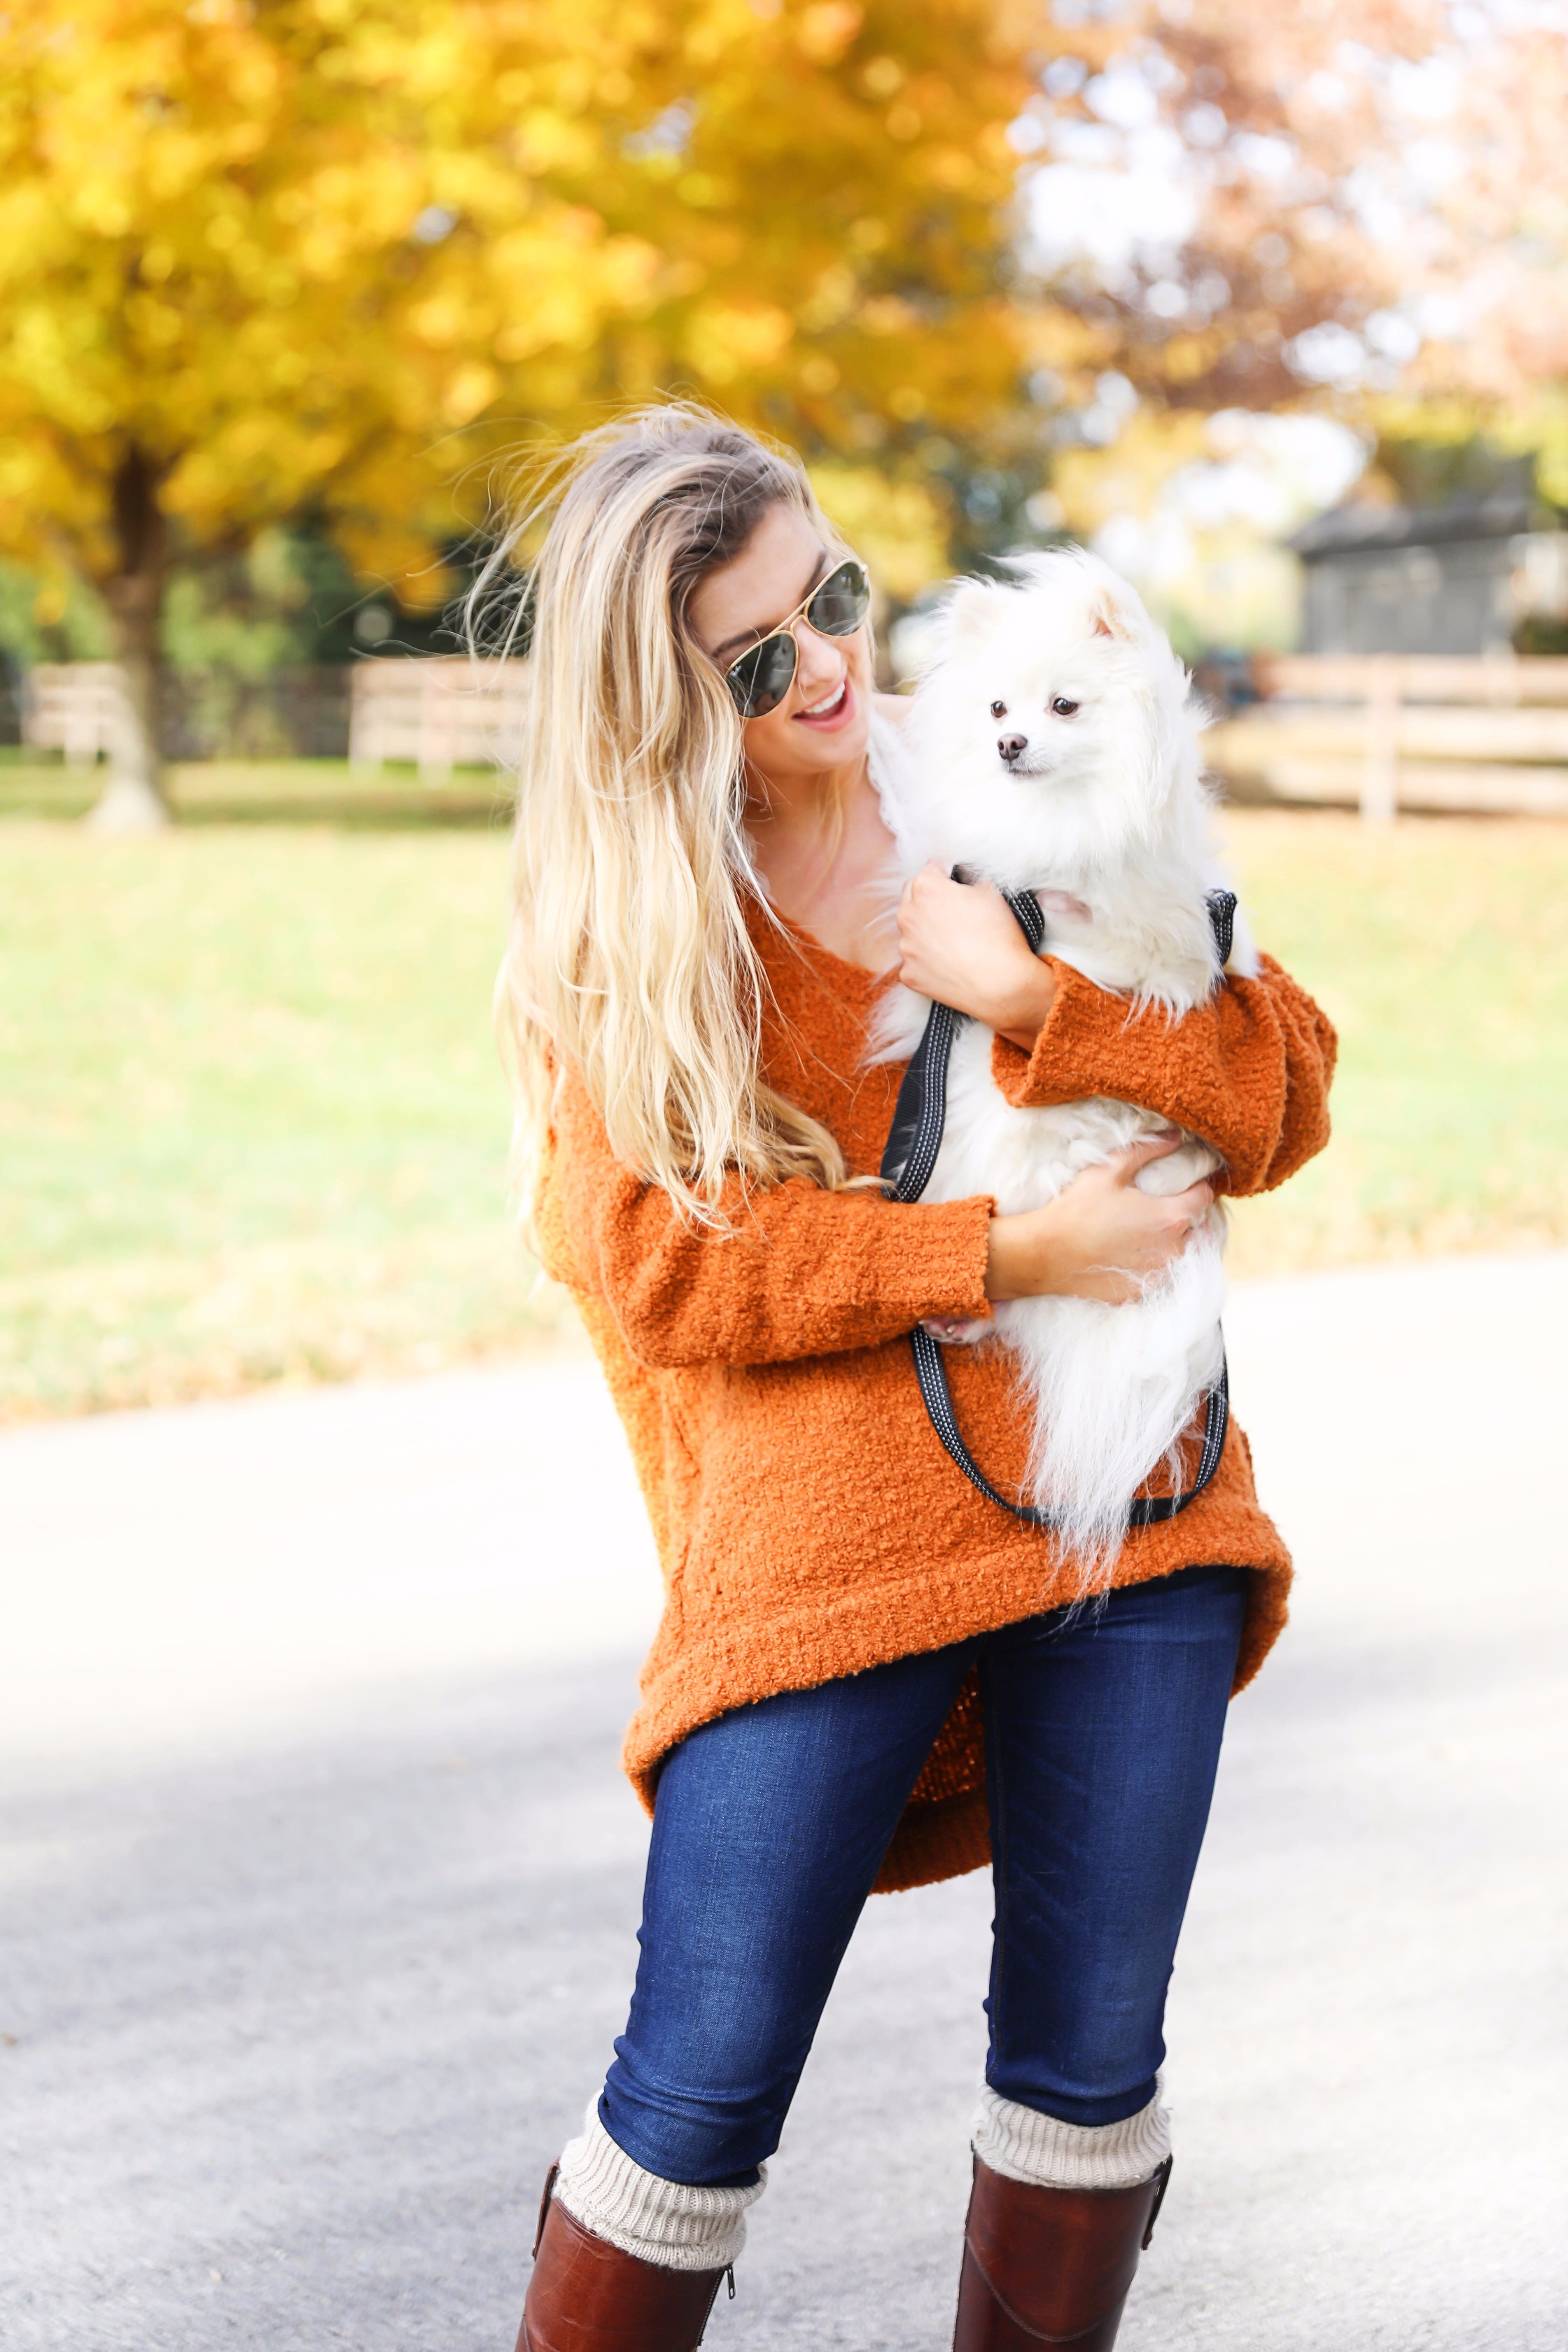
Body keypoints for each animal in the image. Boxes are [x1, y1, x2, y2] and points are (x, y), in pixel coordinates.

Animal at [869, 545, 1260, 1580]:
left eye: (1063, 707)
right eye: (997, 711)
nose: (1010, 745)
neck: (1054, 826)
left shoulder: (1153, 923)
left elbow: (1128, 953)